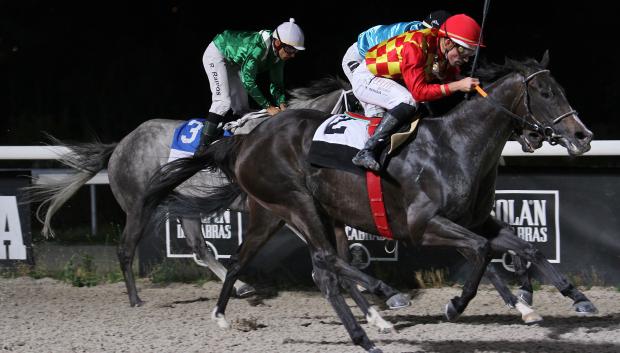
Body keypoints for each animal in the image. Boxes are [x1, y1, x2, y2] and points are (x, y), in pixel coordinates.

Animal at [144, 55, 596, 352]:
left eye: (560, 90)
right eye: (544, 92)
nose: (583, 136)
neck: (455, 144)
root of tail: (245, 139)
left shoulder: (475, 220)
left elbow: (526, 247)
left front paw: (571, 298)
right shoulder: (423, 225)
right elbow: (482, 253)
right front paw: (456, 305)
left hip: (278, 214)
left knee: (257, 261)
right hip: (297, 205)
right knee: (324, 264)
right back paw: (380, 303)